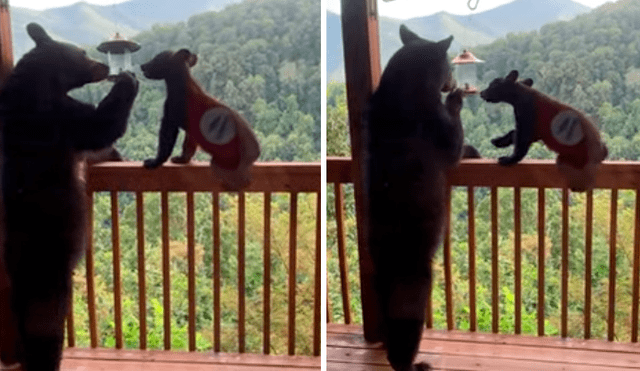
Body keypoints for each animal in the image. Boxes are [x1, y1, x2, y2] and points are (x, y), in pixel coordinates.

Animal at [0, 23, 139, 371]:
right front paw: (127, 79)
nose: (104, 67)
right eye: (84, 53)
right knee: (46, 334)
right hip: (49, 284)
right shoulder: (60, 120)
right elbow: (100, 128)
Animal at [141, 48, 260, 192]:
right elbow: (188, 145)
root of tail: (255, 151)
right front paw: (182, 159)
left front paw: (154, 161)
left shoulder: (170, 118)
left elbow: (166, 142)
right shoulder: (191, 129)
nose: (142, 66)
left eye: (156, 58)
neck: (179, 84)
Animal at [364, 24, 476, 370]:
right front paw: (456, 100)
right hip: (415, 289)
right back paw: (415, 363)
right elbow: (456, 145)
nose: (452, 82)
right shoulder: (438, 126)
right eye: (450, 67)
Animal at [480, 70, 608, 192]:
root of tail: (602, 150)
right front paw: (499, 141)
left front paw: (509, 159)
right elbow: (513, 133)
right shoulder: (533, 131)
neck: (520, 97)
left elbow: (520, 145)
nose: (481, 92)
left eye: (492, 85)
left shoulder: (527, 122)